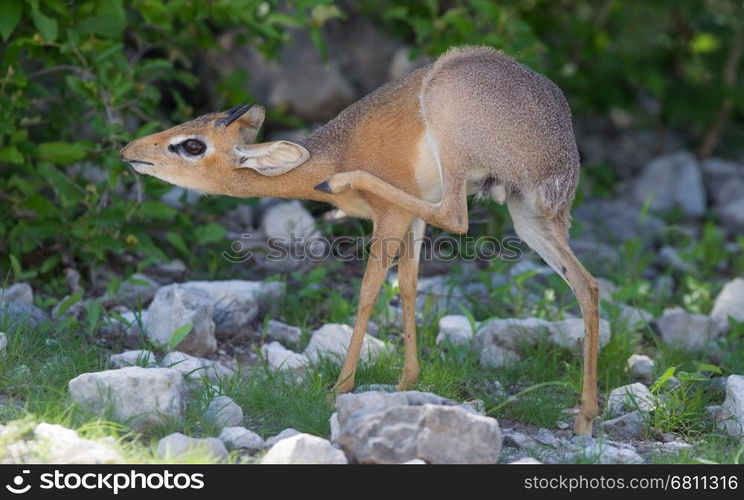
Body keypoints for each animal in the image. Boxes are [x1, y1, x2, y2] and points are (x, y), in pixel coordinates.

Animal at [120, 48, 600, 436]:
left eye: (192, 145)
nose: (129, 151)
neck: (337, 149)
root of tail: (561, 150)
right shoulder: (412, 220)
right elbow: (408, 287)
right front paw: (407, 382)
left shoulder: (393, 215)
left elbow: (369, 291)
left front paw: (340, 388)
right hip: (531, 220)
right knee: (588, 285)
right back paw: (584, 418)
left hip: (459, 152)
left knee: (457, 217)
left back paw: (341, 182)